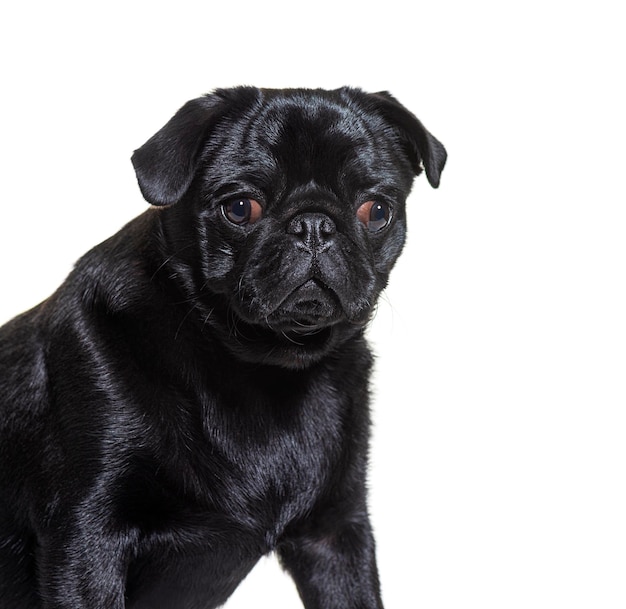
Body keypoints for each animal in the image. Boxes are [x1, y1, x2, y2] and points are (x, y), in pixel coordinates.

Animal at [0, 86, 444, 608]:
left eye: (376, 211)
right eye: (239, 208)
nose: (313, 224)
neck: (265, 364)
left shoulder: (335, 534)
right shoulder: (85, 536)